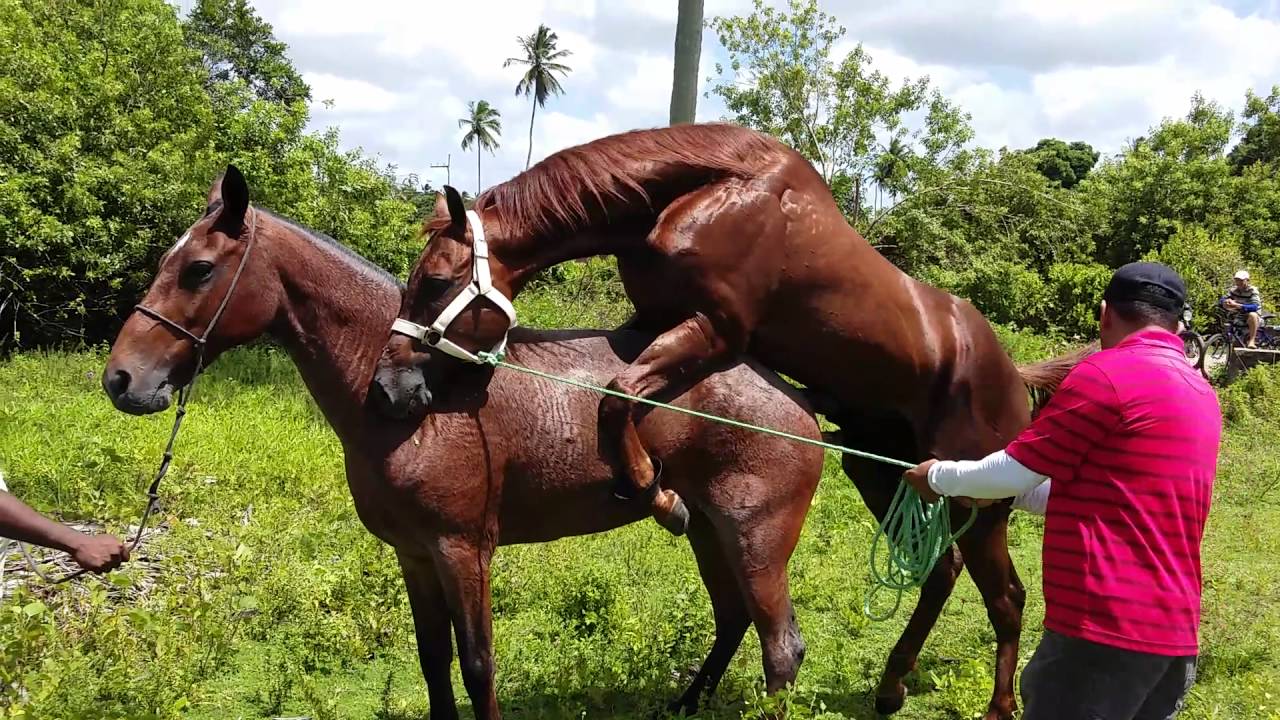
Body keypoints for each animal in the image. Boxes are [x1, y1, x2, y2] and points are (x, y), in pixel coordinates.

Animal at [100, 167, 825, 719]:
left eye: (198, 270)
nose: (122, 379)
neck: (414, 406)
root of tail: (797, 399)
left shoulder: (462, 550)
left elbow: (477, 665)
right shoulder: (415, 555)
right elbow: (433, 658)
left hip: (754, 535)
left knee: (780, 647)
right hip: (706, 525)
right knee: (732, 619)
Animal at [371, 123, 1089, 719]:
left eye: (435, 282)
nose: (390, 385)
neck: (708, 191)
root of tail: (1012, 373)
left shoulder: (713, 328)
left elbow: (616, 395)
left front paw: (656, 493)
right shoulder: (652, 324)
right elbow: (619, 393)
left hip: (978, 498)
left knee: (1007, 598)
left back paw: (996, 705)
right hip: (886, 473)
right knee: (941, 572)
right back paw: (890, 688)